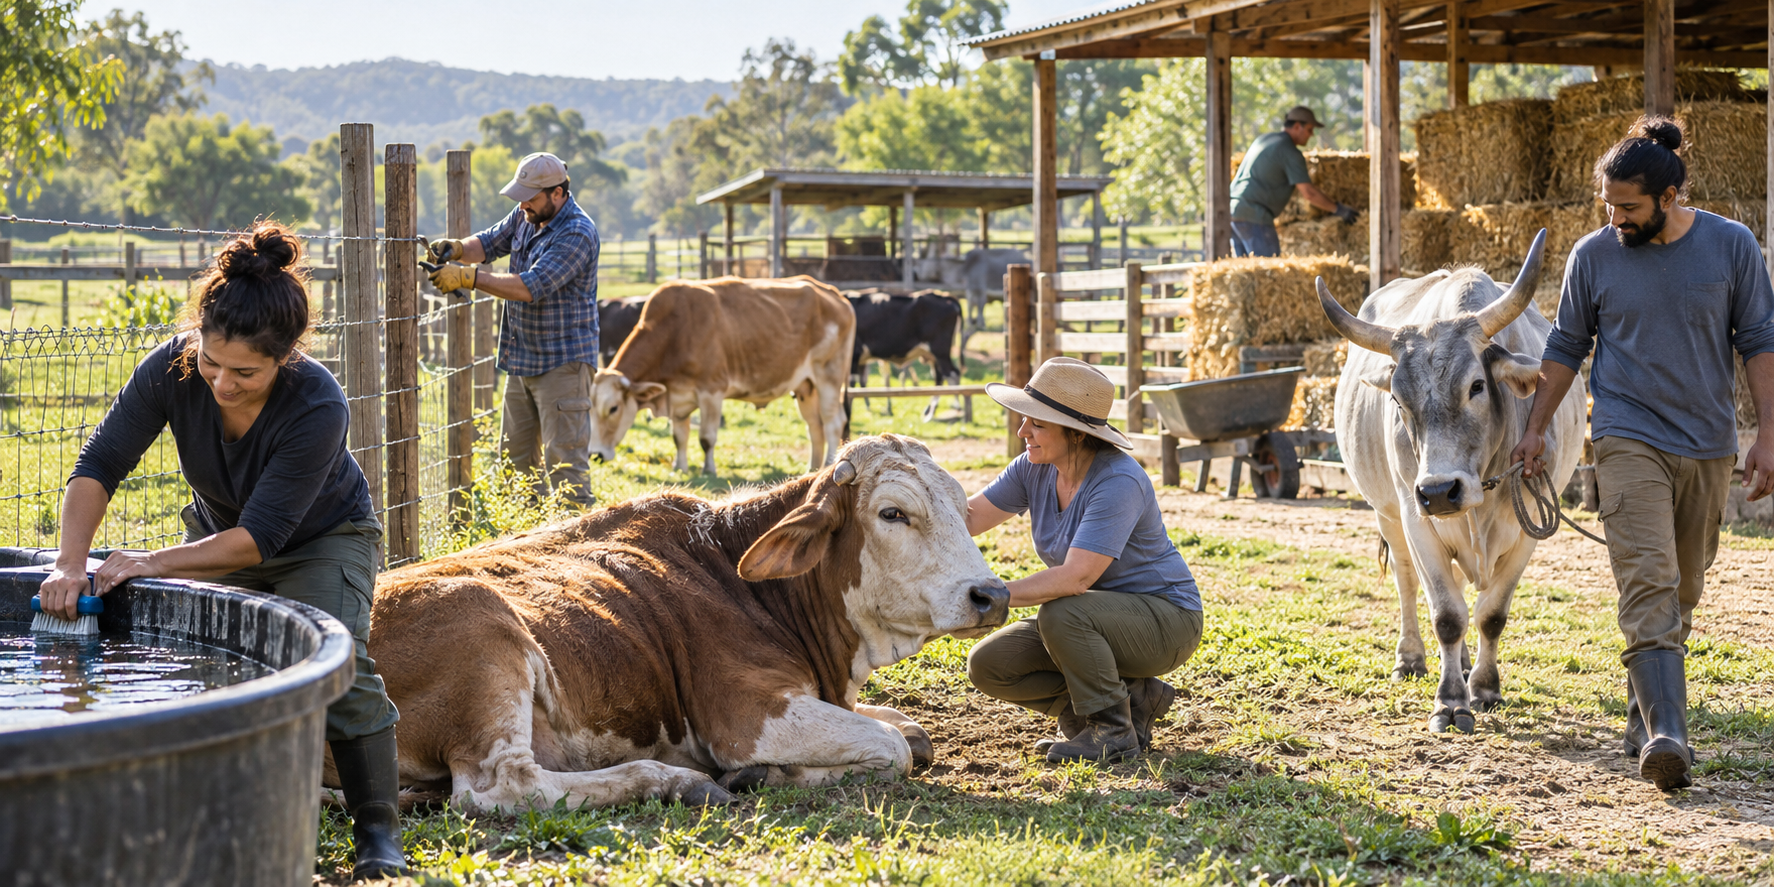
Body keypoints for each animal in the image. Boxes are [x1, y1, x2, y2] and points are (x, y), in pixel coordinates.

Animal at [347, 435, 1011, 812]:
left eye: (963, 507)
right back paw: (674, 781)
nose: (992, 594)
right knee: (502, 789)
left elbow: (913, 732)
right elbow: (894, 745)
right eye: (893, 513)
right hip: (485, 638)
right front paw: (767, 772)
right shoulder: (747, 715)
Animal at [591, 276, 854, 474]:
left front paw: (708, 470)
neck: (676, 330)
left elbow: (706, 437)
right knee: (815, 426)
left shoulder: (711, 391)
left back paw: (828, 466)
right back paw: (812, 470)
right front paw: (680, 467)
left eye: (613, 408)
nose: (595, 455)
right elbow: (680, 436)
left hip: (829, 377)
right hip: (805, 386)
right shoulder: (677, 396)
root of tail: (833, 293)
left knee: (833, 423)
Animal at [848, 290, 962, 422]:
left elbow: (851, 386)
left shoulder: (854, 355)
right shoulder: (861, 360)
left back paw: (953, 408)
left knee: (952, 374)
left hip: (940, 350)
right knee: (939, 376)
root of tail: (945, 296)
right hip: (933, 355)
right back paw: (930, 410)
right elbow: (862, 383)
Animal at [1320, 230, 1585, 734]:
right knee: (1408, 582)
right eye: (1398, 401)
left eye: (1477, 386)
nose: (1440, 491)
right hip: (1388, 515)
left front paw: (1484, 687)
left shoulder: (1529, 529)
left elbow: (1491, 615)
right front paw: (1450, 701)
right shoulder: (1415, 517)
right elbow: (1447, 614)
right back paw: (1412, 659)